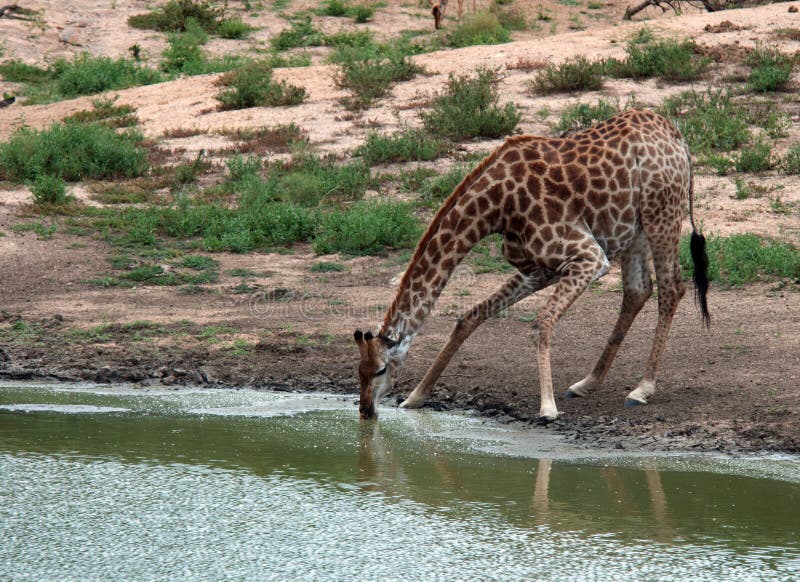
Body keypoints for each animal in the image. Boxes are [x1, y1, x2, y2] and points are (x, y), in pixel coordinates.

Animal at [354, 108, 708, 424]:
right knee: (638, 290)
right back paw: (587, 383)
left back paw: (642, 388)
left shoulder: (588, 256)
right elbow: (471, 316)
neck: (495, 207)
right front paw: (416, 397)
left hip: (662, 212)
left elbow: (541, 323)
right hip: (635, 226)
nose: (365, 411)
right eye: (359, 370)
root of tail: (675, 134)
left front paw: (547, 408)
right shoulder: (538, 268)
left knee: (671, 288)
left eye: (381, 369)